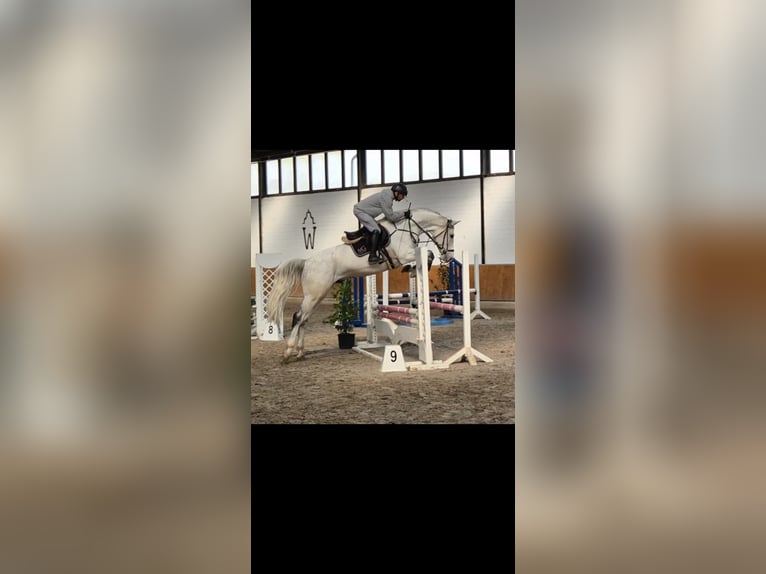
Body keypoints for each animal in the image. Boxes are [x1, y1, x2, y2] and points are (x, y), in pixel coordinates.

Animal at [265, 208, 459, 363]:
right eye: (451, 235)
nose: (448, 257)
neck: (406, 228)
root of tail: (307, 262)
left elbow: (427, 256)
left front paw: (411, 270)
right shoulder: (405, 255)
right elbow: (429, 254)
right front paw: (411, 270)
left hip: (318, 294)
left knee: (304, 319)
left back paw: (300, 353)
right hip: (314, 294)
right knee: (298, 317)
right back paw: (288, 353)